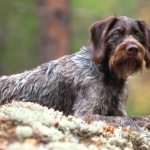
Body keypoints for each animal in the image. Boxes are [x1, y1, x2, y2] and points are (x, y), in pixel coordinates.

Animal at [0, 16, 150, 119]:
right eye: (117, 33)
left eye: (138, 35)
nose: (133, 48)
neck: (108, 74)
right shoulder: (85, 112)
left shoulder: (118, 111)